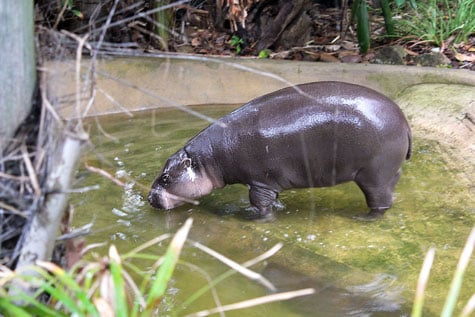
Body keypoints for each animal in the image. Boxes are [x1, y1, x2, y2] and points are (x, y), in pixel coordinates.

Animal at [150, 80, 412, 218]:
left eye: (165, 178)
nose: (150, 197)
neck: (208, 158)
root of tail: (404, 120)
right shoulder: (270, 183)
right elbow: (273, 199)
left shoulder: (259, 182)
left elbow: (260, 204)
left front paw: (255, 217)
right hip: (388, 171)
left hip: (374, 175)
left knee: (379, 200)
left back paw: (364, 218)